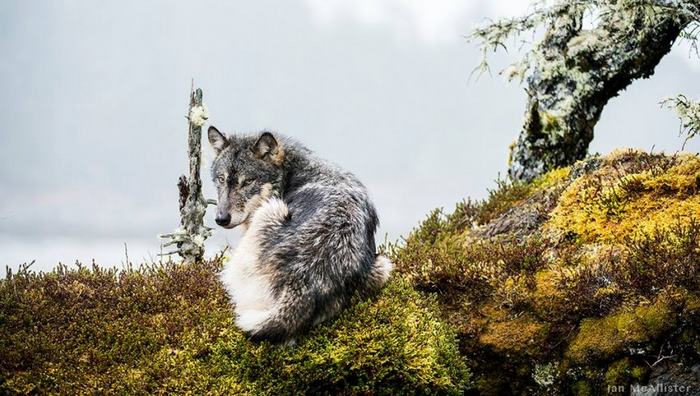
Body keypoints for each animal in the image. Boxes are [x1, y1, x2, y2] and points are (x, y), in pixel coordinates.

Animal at [208, 126, 394, 340]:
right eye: (221, 179)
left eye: (247, 182)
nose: (221, 219)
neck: (291, 172)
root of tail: (302, 278)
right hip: (383, 265)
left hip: (270, 210)